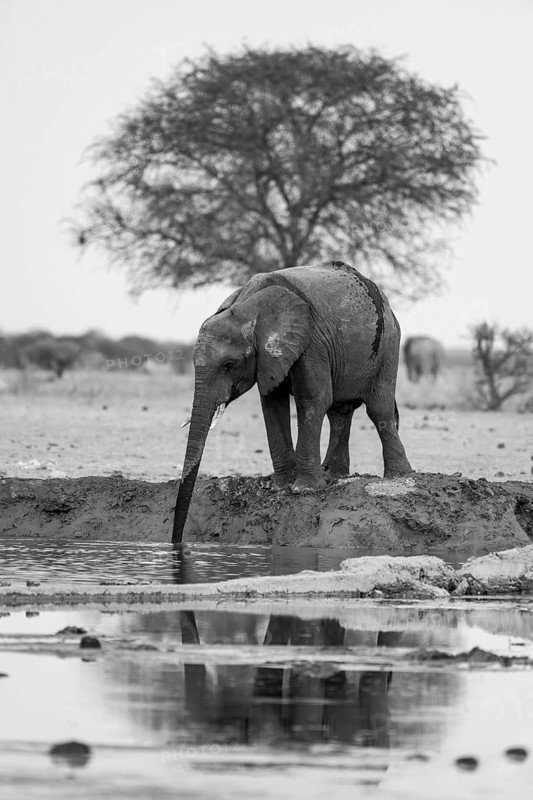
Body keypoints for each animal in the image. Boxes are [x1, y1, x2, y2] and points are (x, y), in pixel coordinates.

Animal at [172, 261, 412, 543]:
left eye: (228, 365)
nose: (177, 543)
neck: (248, 307)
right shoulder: (269, 358)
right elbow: (271, 403)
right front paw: (278, 485)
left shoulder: (312, 341)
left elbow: (313, 399)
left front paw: (304, 490)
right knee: (340, 412)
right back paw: (333, 474)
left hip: (388, 345)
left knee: (379, 410)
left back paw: (399, 477)